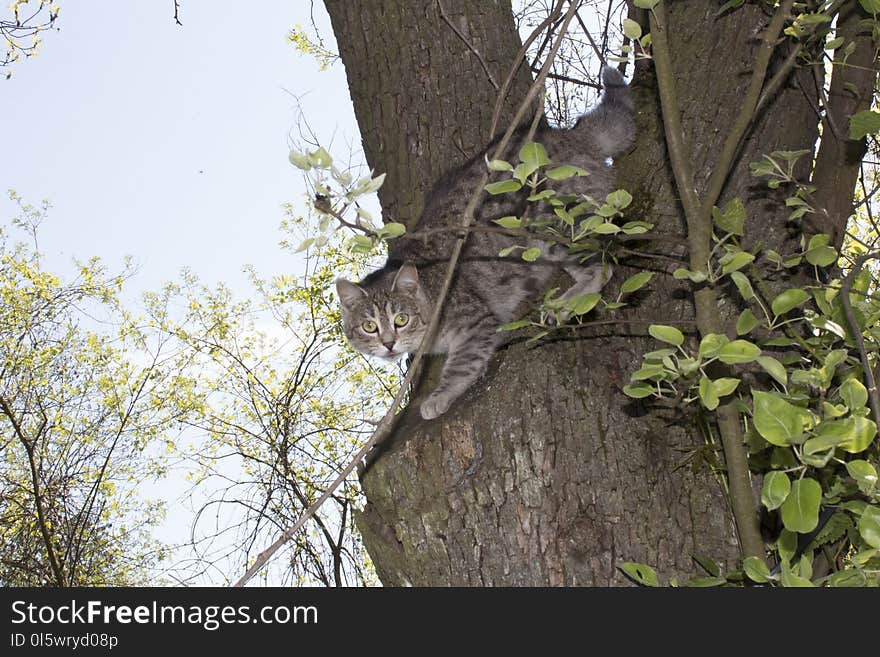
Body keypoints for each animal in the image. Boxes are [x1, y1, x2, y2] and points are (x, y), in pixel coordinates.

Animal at [336, 64, 632, 418]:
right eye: (369, 327)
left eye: (401, 319)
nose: (389, 343)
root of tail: (572, 137)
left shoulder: (475, 324)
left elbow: (461, 365)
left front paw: (437, 397)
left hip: (552, 224)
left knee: (601, 268)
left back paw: (563, 304)